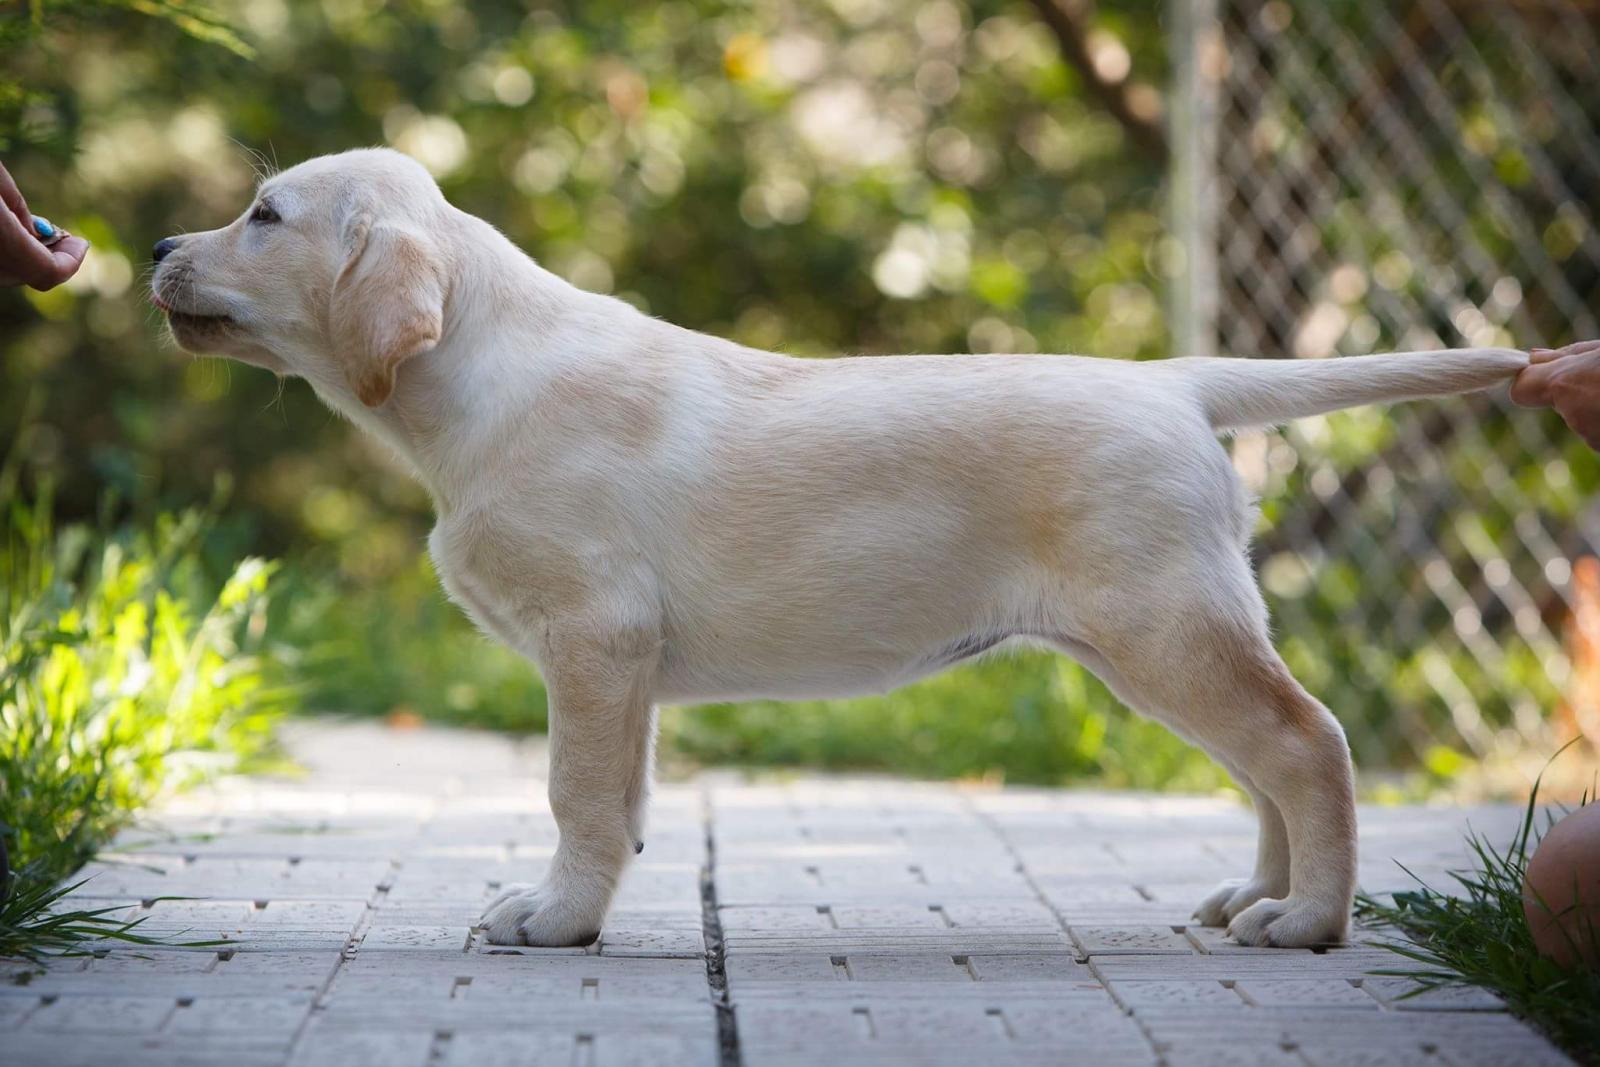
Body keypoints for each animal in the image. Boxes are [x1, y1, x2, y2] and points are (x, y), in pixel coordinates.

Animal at [156, 150, 1529, 953]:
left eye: (263, 215)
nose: (162, 250)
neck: (481, 372)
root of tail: (1175, 381)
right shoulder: (623, 668)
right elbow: (624, 800)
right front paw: (584, 907)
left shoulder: (592, 640)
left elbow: (574, 795)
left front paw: (551, 917)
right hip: (1168, 634)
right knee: (1264, 761)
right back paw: (1255, 896)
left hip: (1162, 627)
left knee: (1306, 743)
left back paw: (1308, 918)